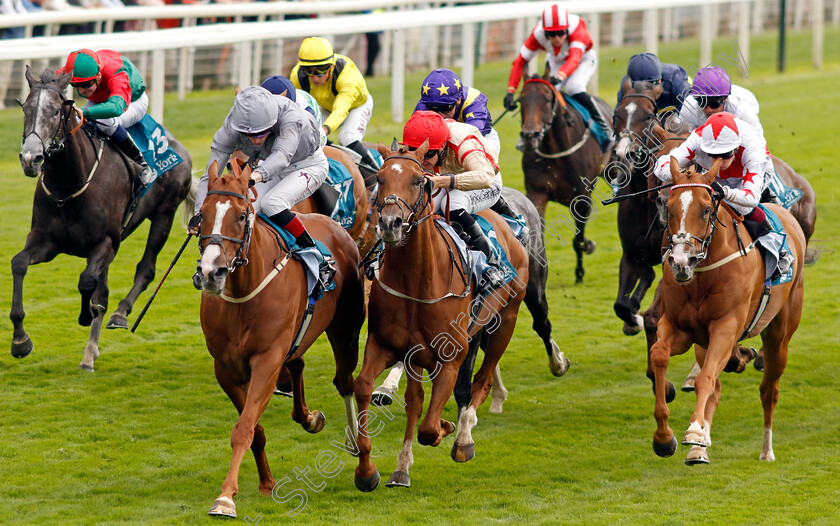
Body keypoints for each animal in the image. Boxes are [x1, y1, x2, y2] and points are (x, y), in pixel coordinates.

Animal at [15, 66, 194, 372]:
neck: (69, 185)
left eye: (55, 112)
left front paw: (86, 314)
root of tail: (178, 147)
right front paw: (20, 341)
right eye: (26, 109)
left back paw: (120, 314)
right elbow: (19, 264)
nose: (31, 158)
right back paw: (90, 353)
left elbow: (87, 282)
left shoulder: (106, 242)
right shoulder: (45, 241)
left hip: (164, 214)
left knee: (145, 269)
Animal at [197, 159, 368, 516]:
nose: (211, 272)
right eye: (201, 214)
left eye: (241, 215)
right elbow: (254, 429)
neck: (244, 293)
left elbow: (244, 428)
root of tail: (333, 225)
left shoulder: (266, 360)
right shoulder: (227, 370)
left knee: (345, 381)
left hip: (345, 329)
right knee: (299, 364)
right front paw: (265, 483)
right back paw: (310, 418)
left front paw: (225, 498)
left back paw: (357, 446)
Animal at [352, 142, 524, 492]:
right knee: (419, 399)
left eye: (419, 180)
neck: (417, 280)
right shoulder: (386, 346)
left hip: (505, 321)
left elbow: (430, 428)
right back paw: (402, 468)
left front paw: (447, 427)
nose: (389, 223)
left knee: (482, 380)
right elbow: (367, 387)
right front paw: (367, 471)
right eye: (380, 177)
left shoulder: (450, 357)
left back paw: (463, 439)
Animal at [516, 74, 612, 284]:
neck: (555, 150)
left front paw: (580, 271)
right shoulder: (537, 193)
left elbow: (579, 239)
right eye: (521, 100)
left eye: (546, 99)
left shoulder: (582, 197)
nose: (530, 136)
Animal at [648, 158, 808, 466]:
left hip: (779, 334)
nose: (681, 262)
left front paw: (693, 431)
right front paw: (664, 438)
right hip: (704, 342)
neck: (702, 275)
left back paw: (766, 451)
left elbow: (705, 379)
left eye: (706, 209)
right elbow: (660, 355)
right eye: (669, 207)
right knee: (717, 387)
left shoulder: (726, 326)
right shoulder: (679, 327)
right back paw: (699, 449)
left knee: (768, 390)